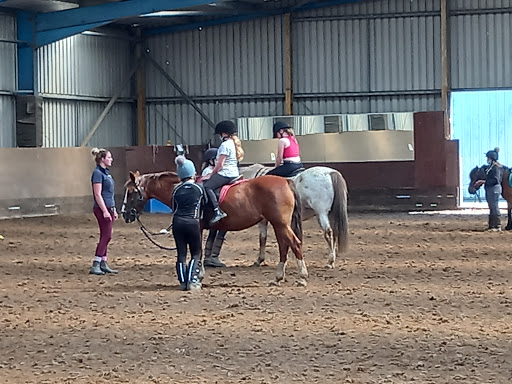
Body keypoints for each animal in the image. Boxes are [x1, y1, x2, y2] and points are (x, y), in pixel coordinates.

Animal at [121, 171, 306, 284]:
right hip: (279, 224)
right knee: (284, 246)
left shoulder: (197, 228)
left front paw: (199, 274)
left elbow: (198, 250)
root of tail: (286, 181)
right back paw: (278, 277)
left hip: (280, 223)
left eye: (132, 192)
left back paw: (302, 276)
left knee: (295, 243)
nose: (125, 214)